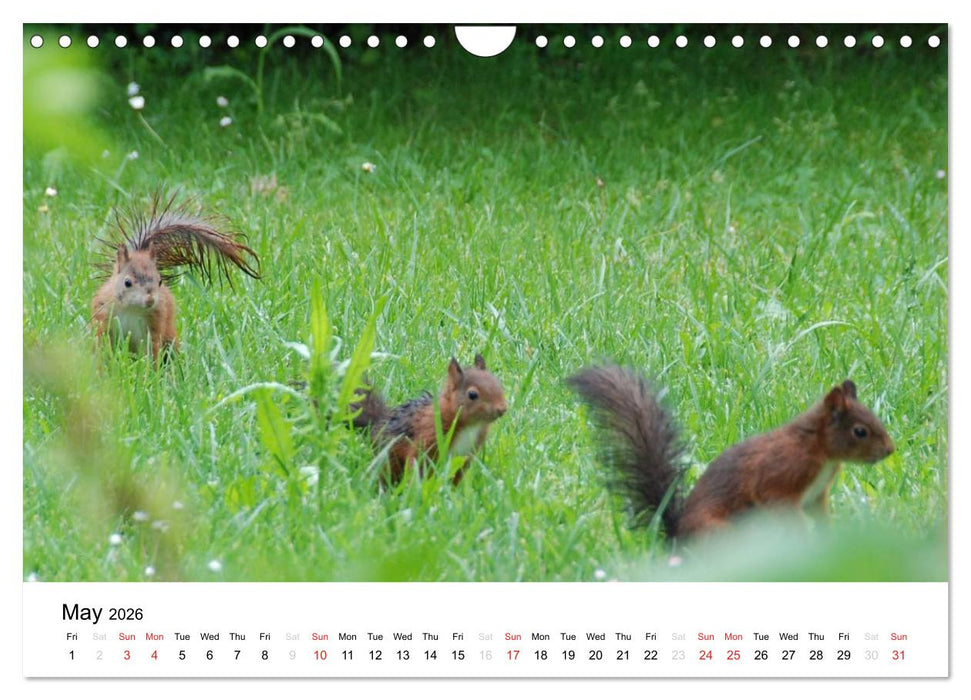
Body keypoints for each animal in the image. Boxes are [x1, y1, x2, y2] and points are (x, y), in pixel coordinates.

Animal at [90, 194, 261, 362]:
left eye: (160, 281)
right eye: (127, 282)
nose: (150, 300)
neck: (132, 308)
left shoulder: (155, 325)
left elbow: (151, 351)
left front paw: (150, 369)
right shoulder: (103, 317)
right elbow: (102, 346)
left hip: (169, 334)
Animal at [352, 354, 508, 485]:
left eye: (498, 383)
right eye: (472, 394)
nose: (502, 409)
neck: (471, 425)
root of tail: (378, 423)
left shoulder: (465, 455)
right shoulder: (429, 434)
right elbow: (418, 462)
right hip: (388, 455)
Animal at [567, 365, 895, 539]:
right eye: (860, 431)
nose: (890, 450)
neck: (820, 449)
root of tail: (675, 540)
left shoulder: (816, 495)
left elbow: (820, 513)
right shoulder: (783, 473)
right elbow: (777, 500)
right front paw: (805, 536)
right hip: (721, 530)